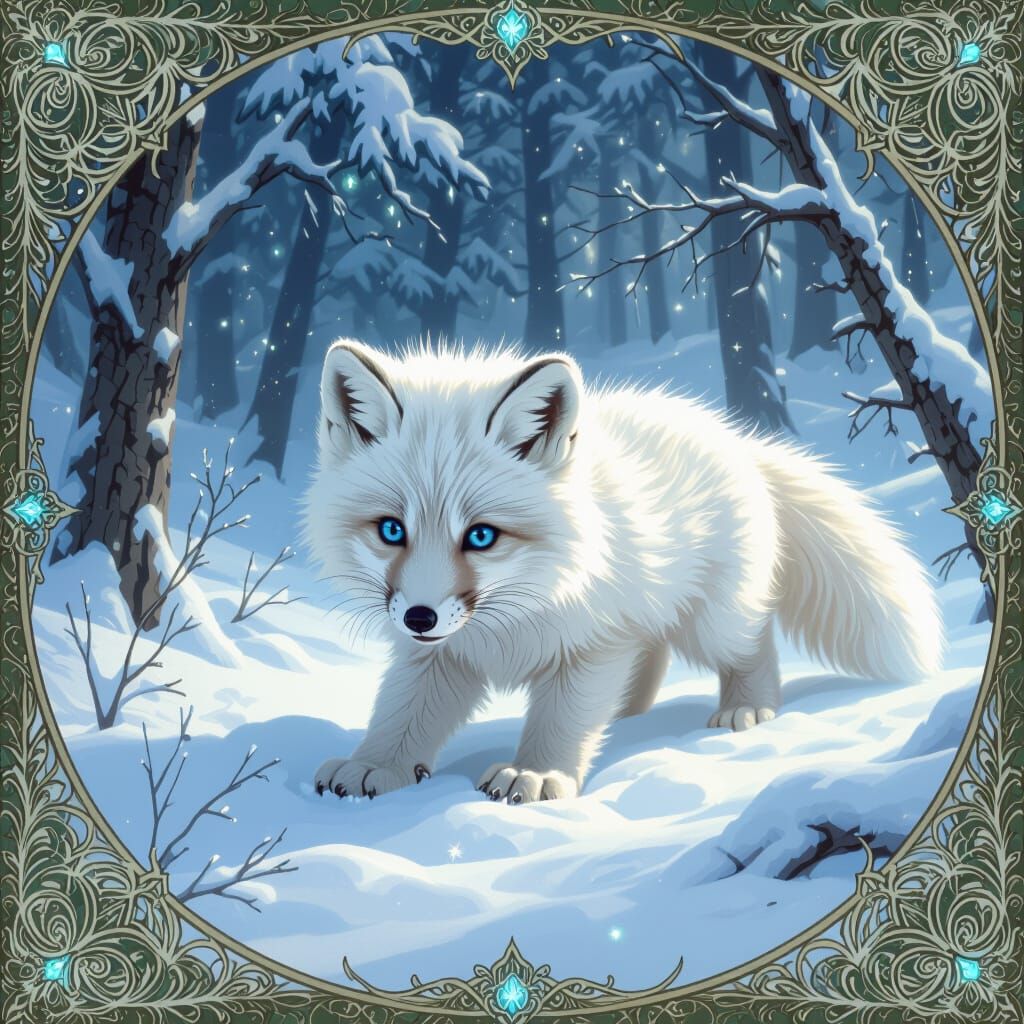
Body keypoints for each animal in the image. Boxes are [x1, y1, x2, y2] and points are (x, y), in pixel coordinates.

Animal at [303, 340, 942, 805]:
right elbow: (401, 716)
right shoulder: (439, 659)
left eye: (481, 536)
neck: (517, 614)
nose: (419, 617)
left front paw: (536, 775)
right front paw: (374, 766)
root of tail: (738, 441)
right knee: (649, 660)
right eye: (392, 530)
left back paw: (747, 709)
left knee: (753, 643)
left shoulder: (590, 649)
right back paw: (630, 717)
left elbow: (560, 722)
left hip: (710, 623)